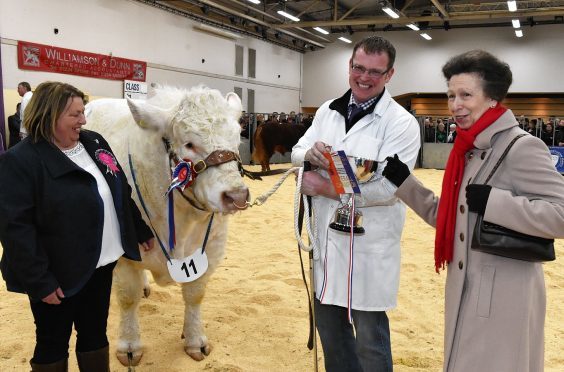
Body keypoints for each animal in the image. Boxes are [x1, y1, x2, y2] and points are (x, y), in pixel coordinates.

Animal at [85, 85, 248, 366]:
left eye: (235, 139)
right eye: (189, 143)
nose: (236, 196)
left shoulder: (211, 248)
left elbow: (195, 294)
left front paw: (195, 339)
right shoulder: (125, 256)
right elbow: (127, 297)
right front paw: (129, 345)